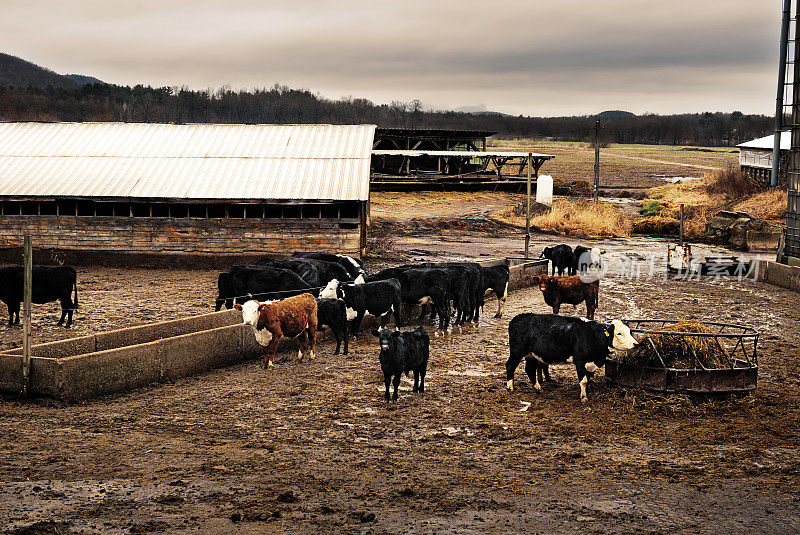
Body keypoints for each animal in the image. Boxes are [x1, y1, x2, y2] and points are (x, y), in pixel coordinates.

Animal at [506, 314, 636, 402]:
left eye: (630, 331)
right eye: (619, 333)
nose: (635, 343)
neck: (592, 335)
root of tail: (519, 317)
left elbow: (588, 379)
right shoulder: (580, 361)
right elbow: (583, 380)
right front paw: (584, 398)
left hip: (531, 354)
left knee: (530, 369)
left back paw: (537, 388)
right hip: (517, 352)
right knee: (510, 366)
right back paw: (510, 387)